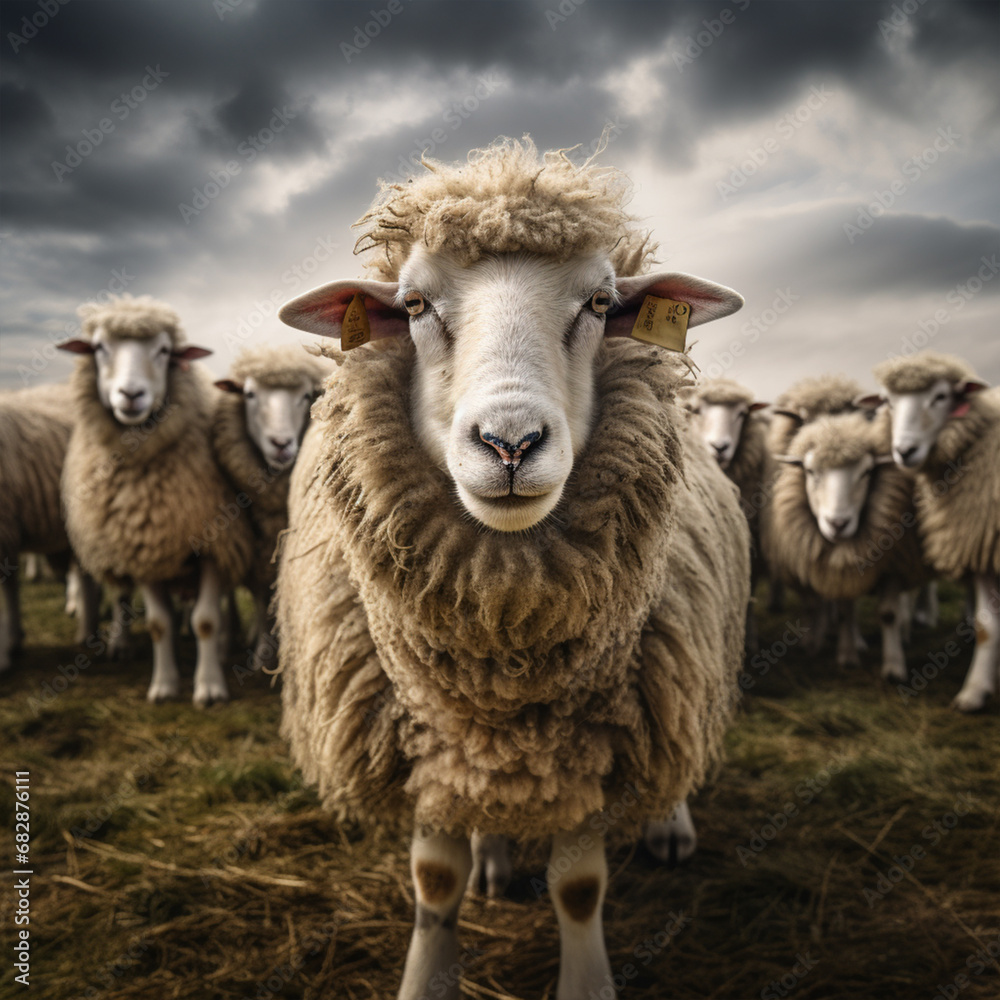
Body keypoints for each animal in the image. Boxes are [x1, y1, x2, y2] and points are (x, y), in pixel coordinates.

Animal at [58, 295, 254, 706]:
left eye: (164, 351)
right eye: (99, 348)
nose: (132, 395)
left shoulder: (215, 545)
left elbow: (206, 620)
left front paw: (209, 687)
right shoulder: (145, 549)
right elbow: (158, 624)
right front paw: (164, 685)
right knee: (121, 598)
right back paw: (120, 643)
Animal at [212, 344, 330, 666]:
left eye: (306, 396)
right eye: (250, 394)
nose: (281, 444)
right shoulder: (256, 541)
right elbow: (259, 591)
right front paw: (262, 651)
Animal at [274, 137, 751, 999]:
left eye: (600, 303)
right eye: (414, 305)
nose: (510, 443)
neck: (502, 670)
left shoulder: (595, 741)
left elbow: (579, 889)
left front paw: (587, 981)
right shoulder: (426, 731)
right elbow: (434, 883)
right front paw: (427, 974)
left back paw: (668, 824)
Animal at [767, 410, 928, 680]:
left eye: (866, 472)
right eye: (810, 471)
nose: (838, 524)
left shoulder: (893, 565)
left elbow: (889, 614)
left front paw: (894, 667)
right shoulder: (838, 570)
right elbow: (844, 611)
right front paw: (847, 654)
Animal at [871, 351, 999, 712]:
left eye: (941, 396)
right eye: (888, 401)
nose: (904, 451)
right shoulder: (979, 545)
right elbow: (987, 625)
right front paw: (974, 693)